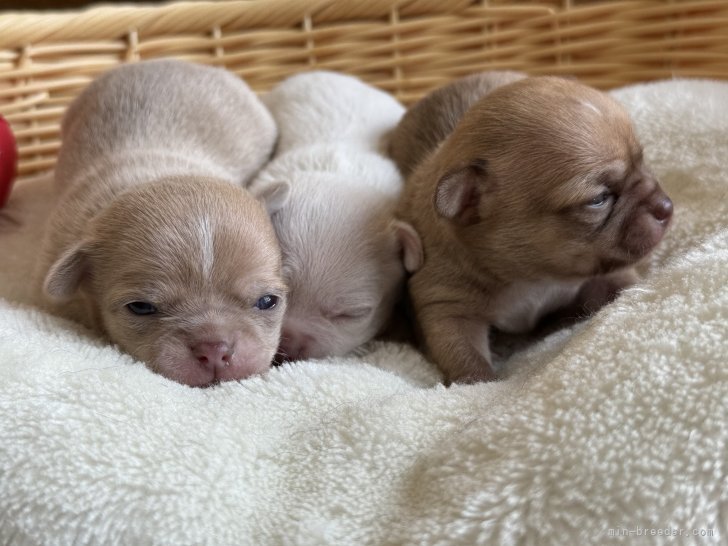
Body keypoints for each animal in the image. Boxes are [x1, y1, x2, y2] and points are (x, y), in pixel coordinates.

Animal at [396, 75, 672, 382]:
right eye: (598, 199)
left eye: (643, 163)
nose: (667, 206)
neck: (533, 277)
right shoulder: (444, 305)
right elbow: (465, 357)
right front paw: (481, 382)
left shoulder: (604, 274)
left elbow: (624, 283)